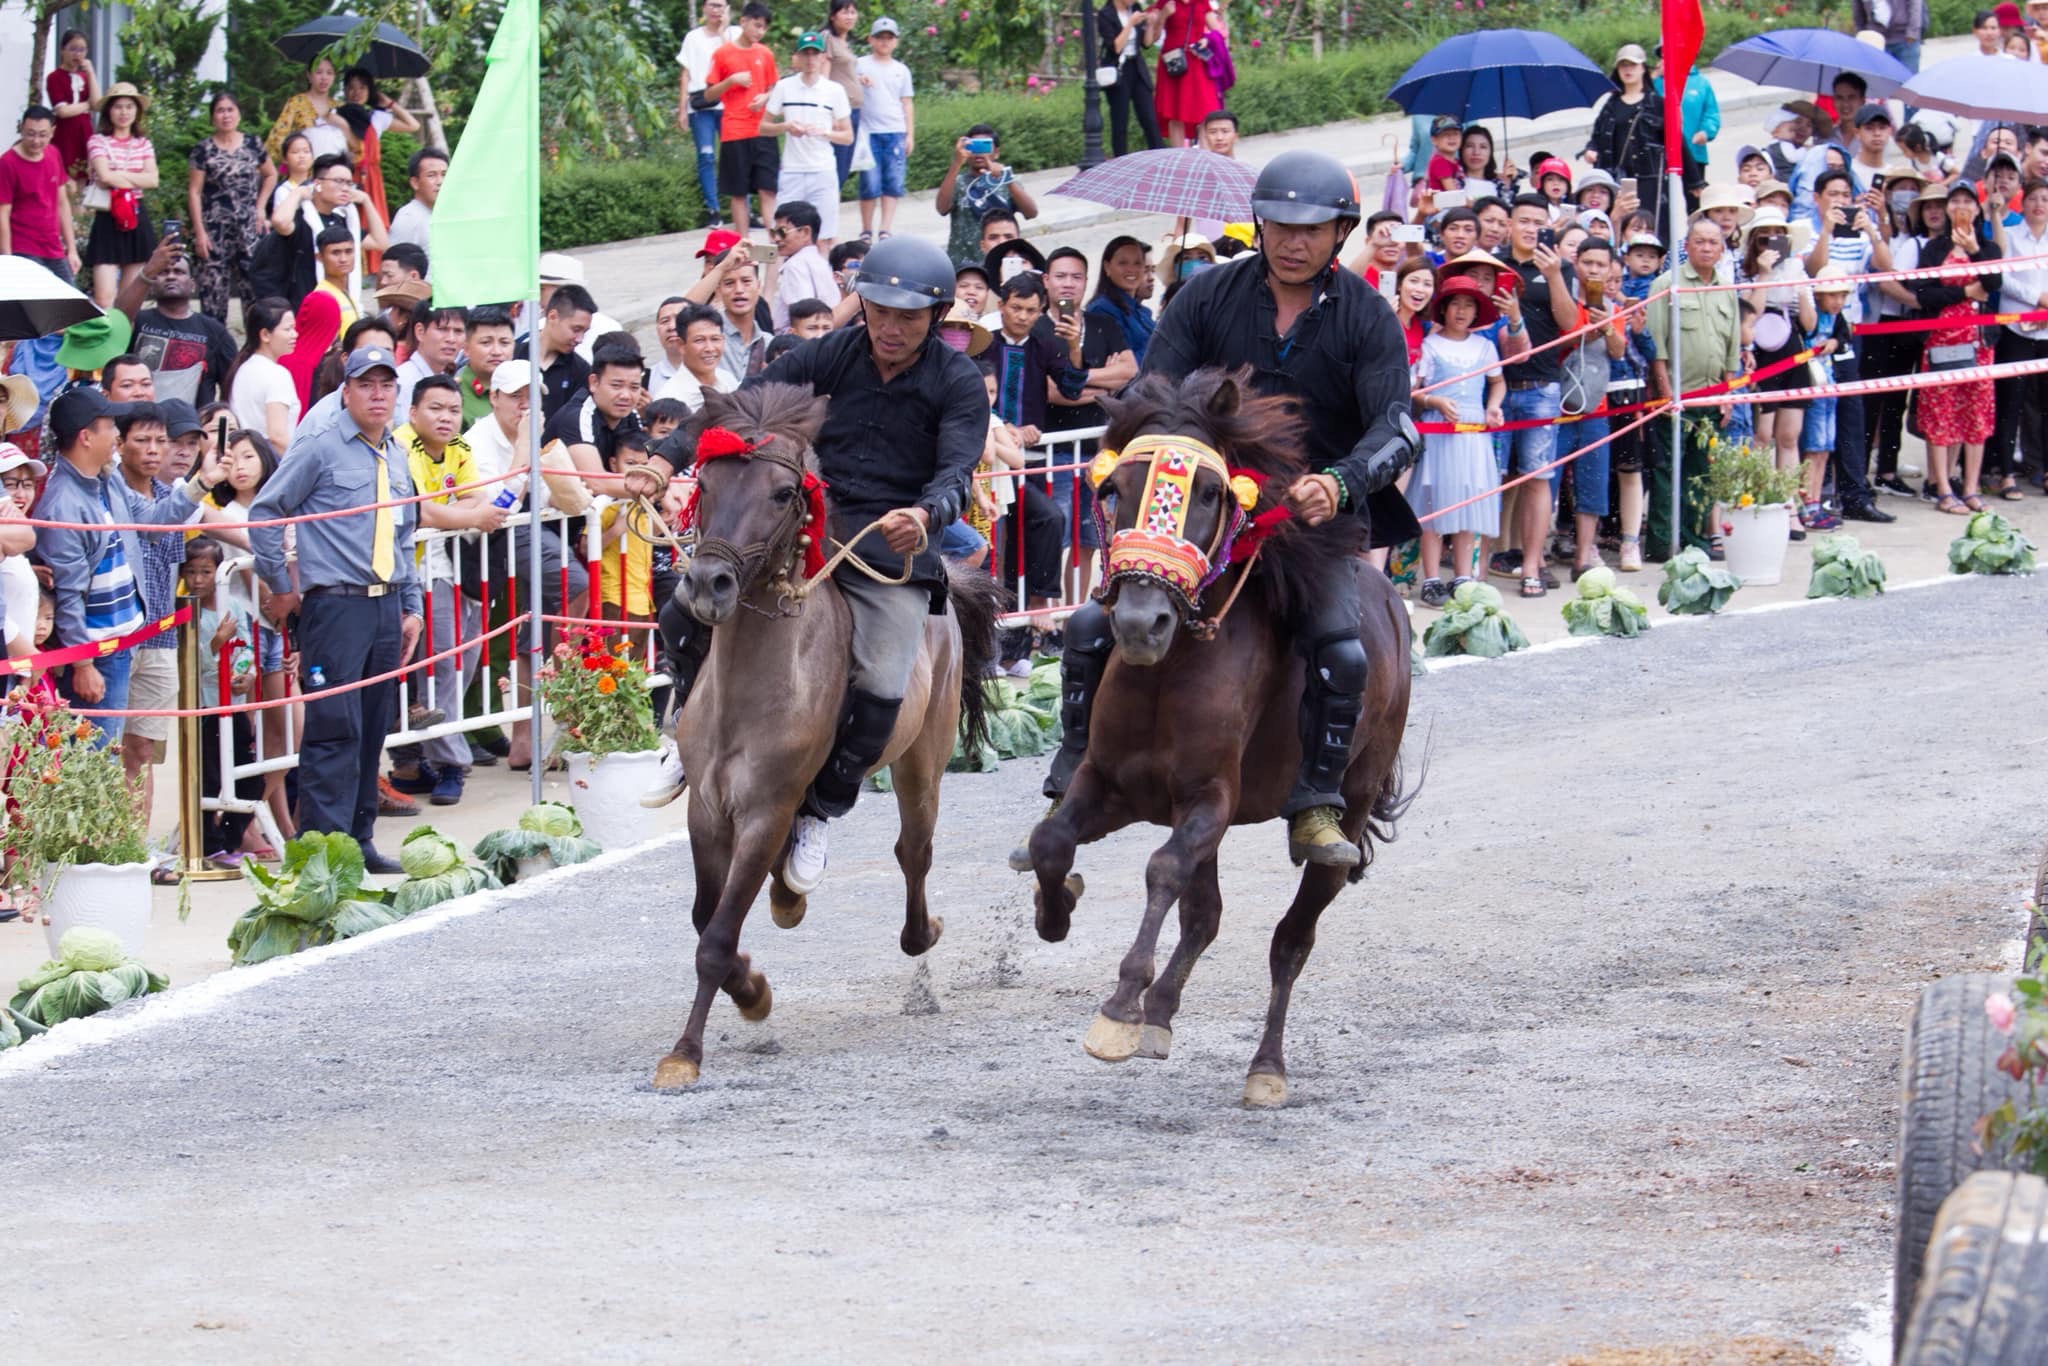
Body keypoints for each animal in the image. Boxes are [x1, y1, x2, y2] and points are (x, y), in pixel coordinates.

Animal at [655, 385, 999, 1089]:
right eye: (704, 479)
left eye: (784, 493)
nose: (706, 585)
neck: (748, 689)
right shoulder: (707, 811)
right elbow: (708, 921)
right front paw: (751, 990)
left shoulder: (764, 810)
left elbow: (716, 938)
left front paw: (688, 1049)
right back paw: (790, 893)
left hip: (920, 763)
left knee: (911, 853)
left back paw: (918, 929)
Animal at [1015, 370, 1417, 1114]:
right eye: (1114, 488)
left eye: (1208, 493)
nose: (1141, 622)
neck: (1169, 669)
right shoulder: (1112, 786)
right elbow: (1053, 841)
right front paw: (1056, 913)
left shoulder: (1209, 799)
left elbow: (1163, 870)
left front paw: (1119, 1009)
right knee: (1206, 916)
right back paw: (1162, 1013)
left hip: (1348, 805)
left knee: (1292, 938)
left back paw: (1264, 1066)